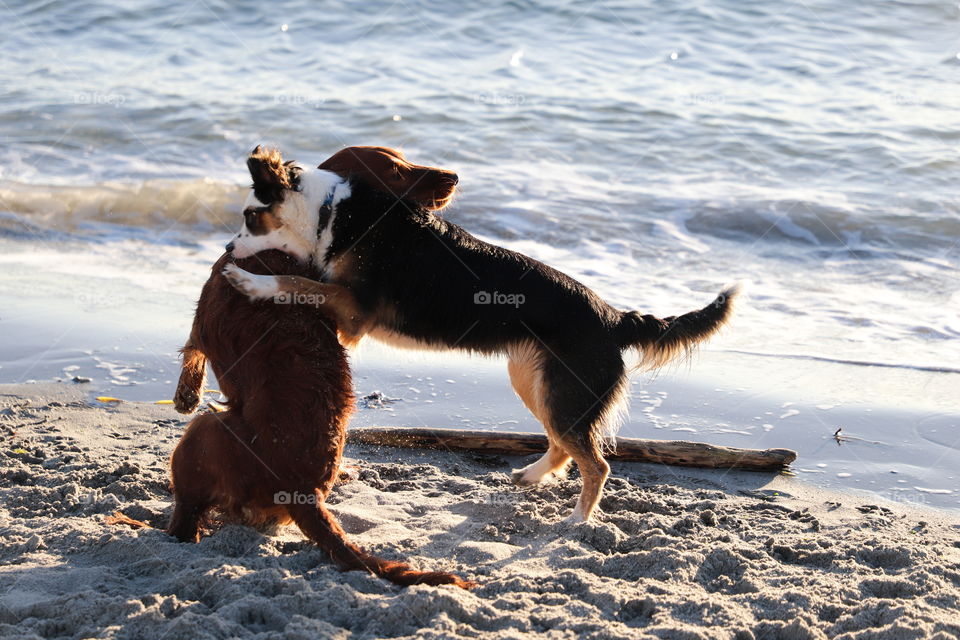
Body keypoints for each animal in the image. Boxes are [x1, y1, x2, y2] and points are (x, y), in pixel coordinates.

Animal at [223, 146, 736, 524]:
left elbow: (296, 281)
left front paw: (250, 281)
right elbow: (305, 283)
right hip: (536, 382)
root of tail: (611, 316)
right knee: (562, 446)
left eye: (250, 217)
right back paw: (531, 477)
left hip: (563, 393)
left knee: (597, 463)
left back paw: (578, 520)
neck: (331, 212)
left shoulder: (354, 312)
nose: (227, 245)